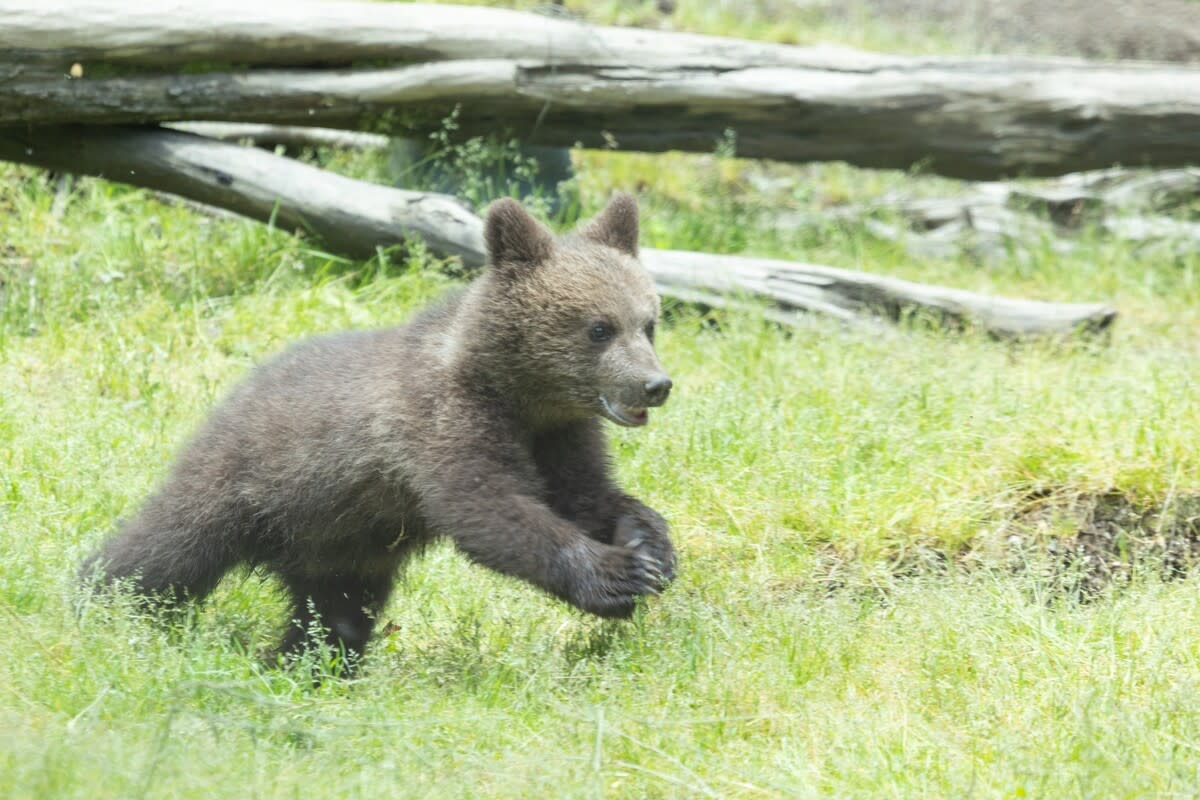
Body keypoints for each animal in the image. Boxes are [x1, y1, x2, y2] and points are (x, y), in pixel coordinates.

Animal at [81, 193, 676, 665]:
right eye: (599, 328)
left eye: (648, 322)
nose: (655, 384)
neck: (515, 394)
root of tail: (235, 391)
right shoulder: (439, 423)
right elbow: (489, 507)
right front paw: (616, 574)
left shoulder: (562, 435)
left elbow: (587, 494)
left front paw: (651, 546)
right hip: (242, 483)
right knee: (162, 552)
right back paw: (99, 603)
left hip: (338, 544)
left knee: (333, 617)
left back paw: (304, 665)